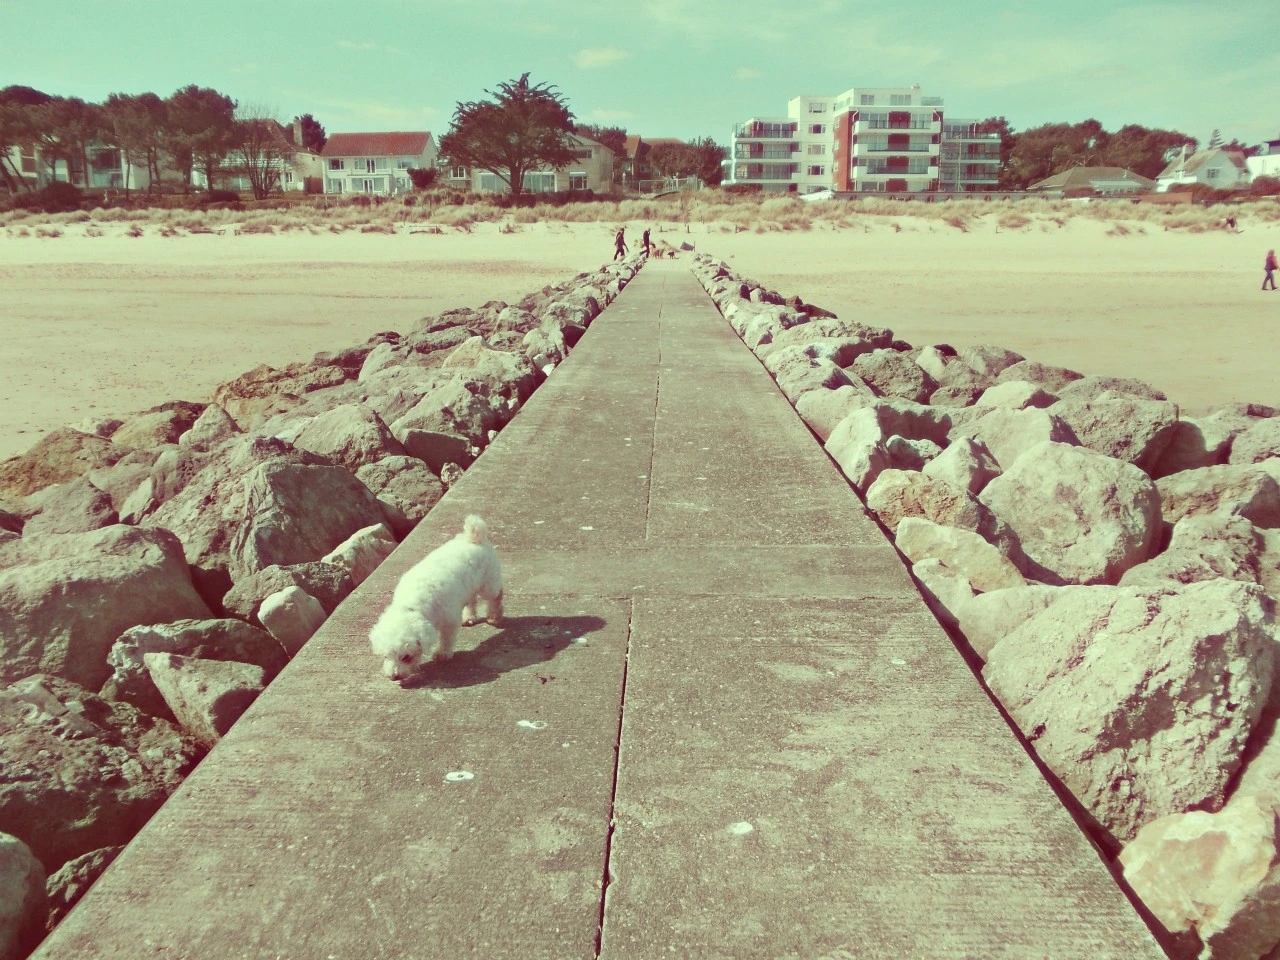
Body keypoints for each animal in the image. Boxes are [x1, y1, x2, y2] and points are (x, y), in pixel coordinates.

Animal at [368, 519, 501, 686]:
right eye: (386, 656)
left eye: (406, 657)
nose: (394, 677)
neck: (412, 605)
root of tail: (474, 537)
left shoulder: (450, 621)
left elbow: (446, 639)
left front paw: (442, 654)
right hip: (470, 585)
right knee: (472, 599)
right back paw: (470, 617)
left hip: (488, 583)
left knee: (496, 596)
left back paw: (494, 616)